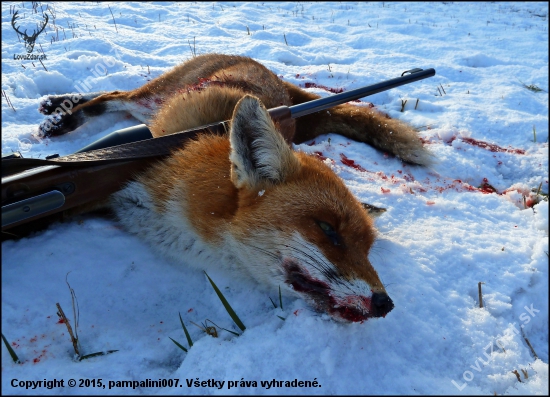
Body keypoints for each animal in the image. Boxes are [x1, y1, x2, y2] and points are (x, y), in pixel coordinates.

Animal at [37, 53, 432, 322]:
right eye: (327, 230)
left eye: (367, 250)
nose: (385, 303)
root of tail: (266, 70)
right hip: (152, 99)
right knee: (111, 96)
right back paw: (64, 114)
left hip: (149, 110)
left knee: (112, 95)